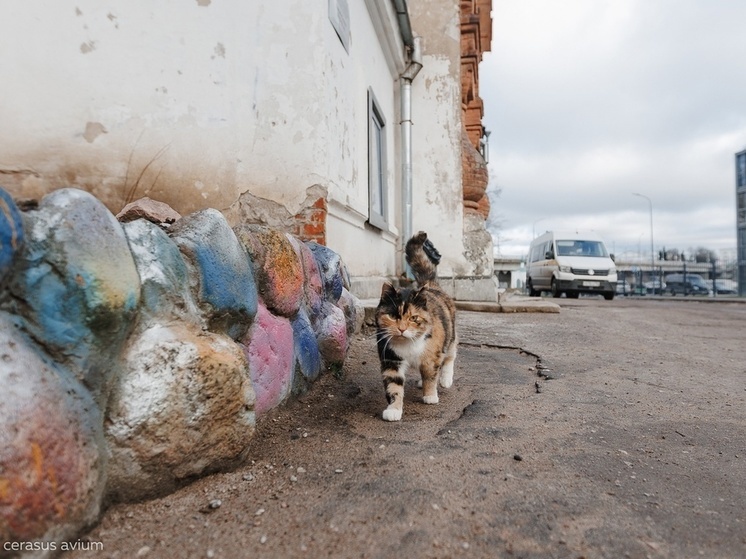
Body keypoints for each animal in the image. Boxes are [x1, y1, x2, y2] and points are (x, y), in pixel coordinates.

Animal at [374, 231, 456, 420]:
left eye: (413, 318)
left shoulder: (432, 356)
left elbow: (431, 376)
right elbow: (393, 385)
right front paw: (393, 410)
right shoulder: (390, 358)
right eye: (392, 316)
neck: (407, 345)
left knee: (449, 357)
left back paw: (445, 379)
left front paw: (430, 396)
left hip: (450, 336)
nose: (402, 329)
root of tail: (430, 285)